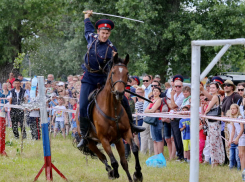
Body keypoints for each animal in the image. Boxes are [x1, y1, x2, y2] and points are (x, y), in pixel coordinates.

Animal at [83, 53, 143, 181]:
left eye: (127, 73)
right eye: (113, 72)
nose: (119, 93)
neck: (112, 110)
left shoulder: (126, 132)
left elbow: (134, 149)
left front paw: (138, 173)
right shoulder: (104, 139)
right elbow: (113, 161)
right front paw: (114, 173)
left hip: (118, 140)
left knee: (124, 163)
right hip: (90, 142)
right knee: (103, 157)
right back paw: (111, 171)